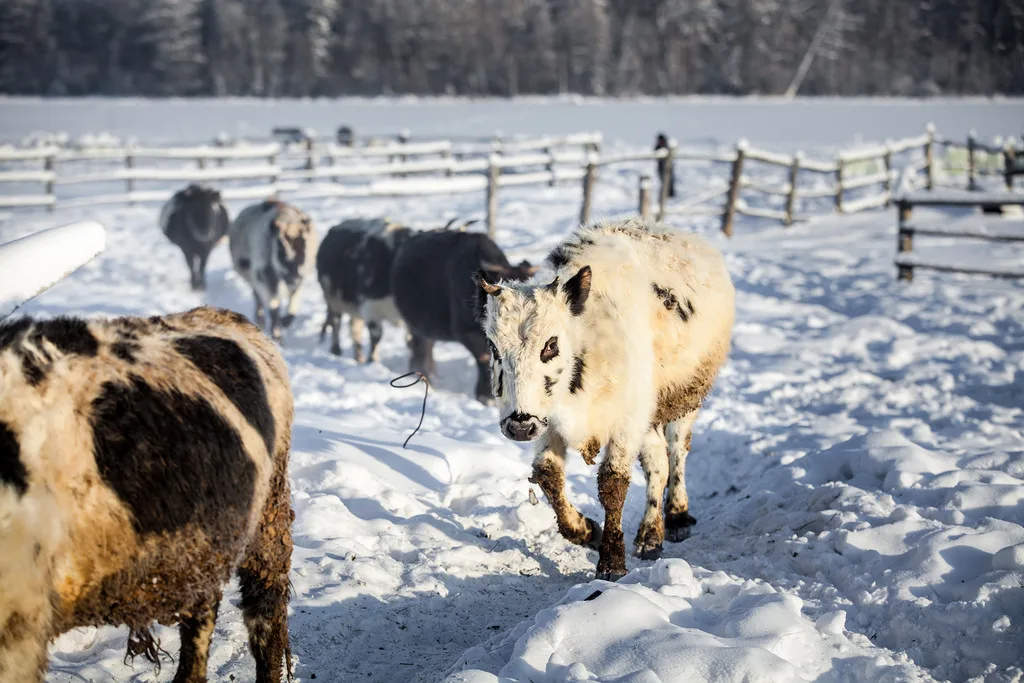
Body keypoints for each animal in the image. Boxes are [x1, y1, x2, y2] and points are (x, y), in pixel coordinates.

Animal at [230, 200, 317, 342]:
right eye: (280, 248)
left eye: (304, 245)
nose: (294, 276)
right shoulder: (264, 279)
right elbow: (273, 309)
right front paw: (277, 334)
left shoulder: (299, 280)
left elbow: (292, 306)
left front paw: (285, 321)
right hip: (253, 278)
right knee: (258, 299)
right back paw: (261, 321)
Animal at [313, 218, 409, 362]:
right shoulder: (370, 308)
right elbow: (376, 336)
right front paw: (373, 361)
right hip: (333, 299)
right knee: (336, 323)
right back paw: (337, 350)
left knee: (354, 328)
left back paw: (359, 357)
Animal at [475, 219, 733, 581]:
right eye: (494, 347)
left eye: (550, 344)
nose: (519, 426)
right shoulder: (550, 421)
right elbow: (548, 474)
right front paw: (585, 530)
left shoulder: (626, 420)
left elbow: (613, 482)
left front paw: (611, 562)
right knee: (657, 462)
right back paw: (650, 535)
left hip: (687, 397)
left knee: (677, 451)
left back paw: (676, 517)